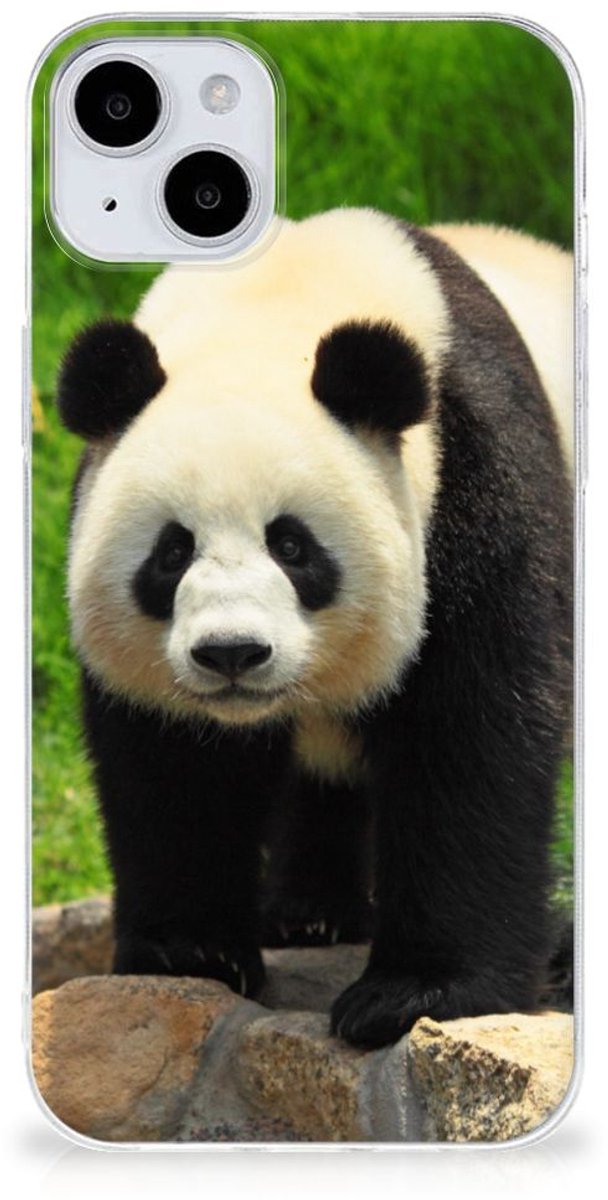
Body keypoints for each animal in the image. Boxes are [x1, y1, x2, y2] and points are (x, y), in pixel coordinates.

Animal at [57, 209, 573, 1048]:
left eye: (292, 546)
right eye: (172, 552)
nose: (232, 653)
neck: (275, 303)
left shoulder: (478, 480)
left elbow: (473, 734)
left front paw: (416, 994)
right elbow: (175, 763)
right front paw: (190, 951)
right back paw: (309, 914)